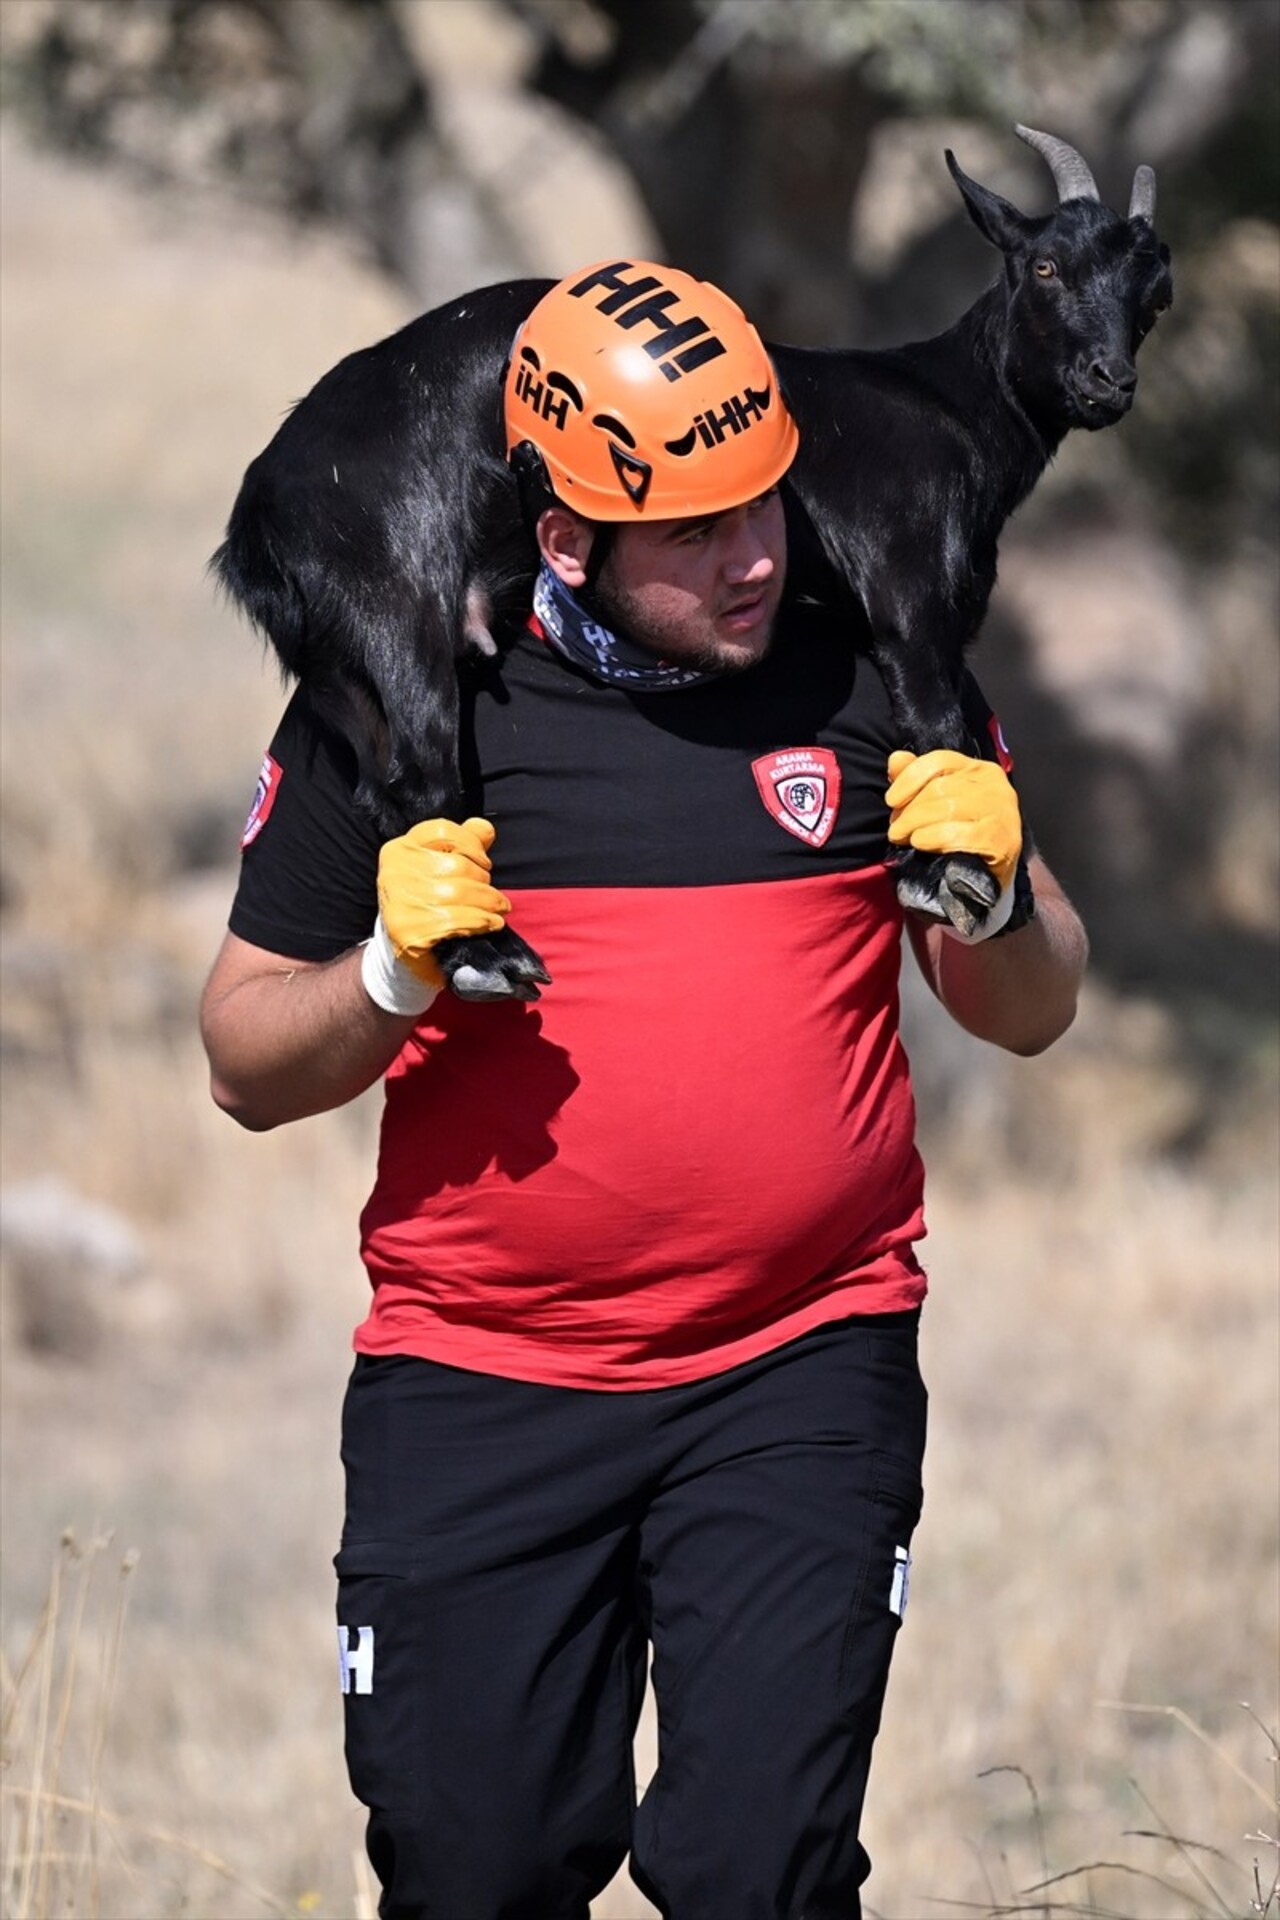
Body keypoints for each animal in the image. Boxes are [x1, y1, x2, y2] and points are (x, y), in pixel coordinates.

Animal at [217, 123, 1174, 990]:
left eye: (1155, 292)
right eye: (1044, 266)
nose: (1107, 382)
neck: (954, 406)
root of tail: (261, 512)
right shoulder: (908, 592)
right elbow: (942, 729)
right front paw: (951, 876)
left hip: (341, 668)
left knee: (381, 798)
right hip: (393, 603)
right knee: (419, 778)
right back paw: (486, 955)